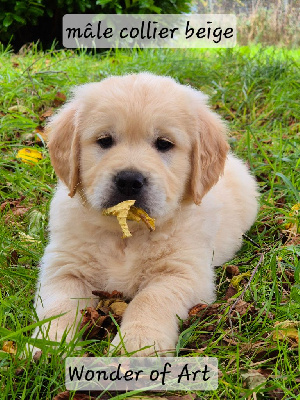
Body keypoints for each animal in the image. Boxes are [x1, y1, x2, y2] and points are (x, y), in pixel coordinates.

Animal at [31, 72, 258, 356]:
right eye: (104, 140)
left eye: (164, 144)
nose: (129, 181)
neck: (126, 231)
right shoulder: (65, 267)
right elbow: (58, 305)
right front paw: (49, 343)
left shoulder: (181, 272)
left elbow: (150, 299)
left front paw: (137, 345)